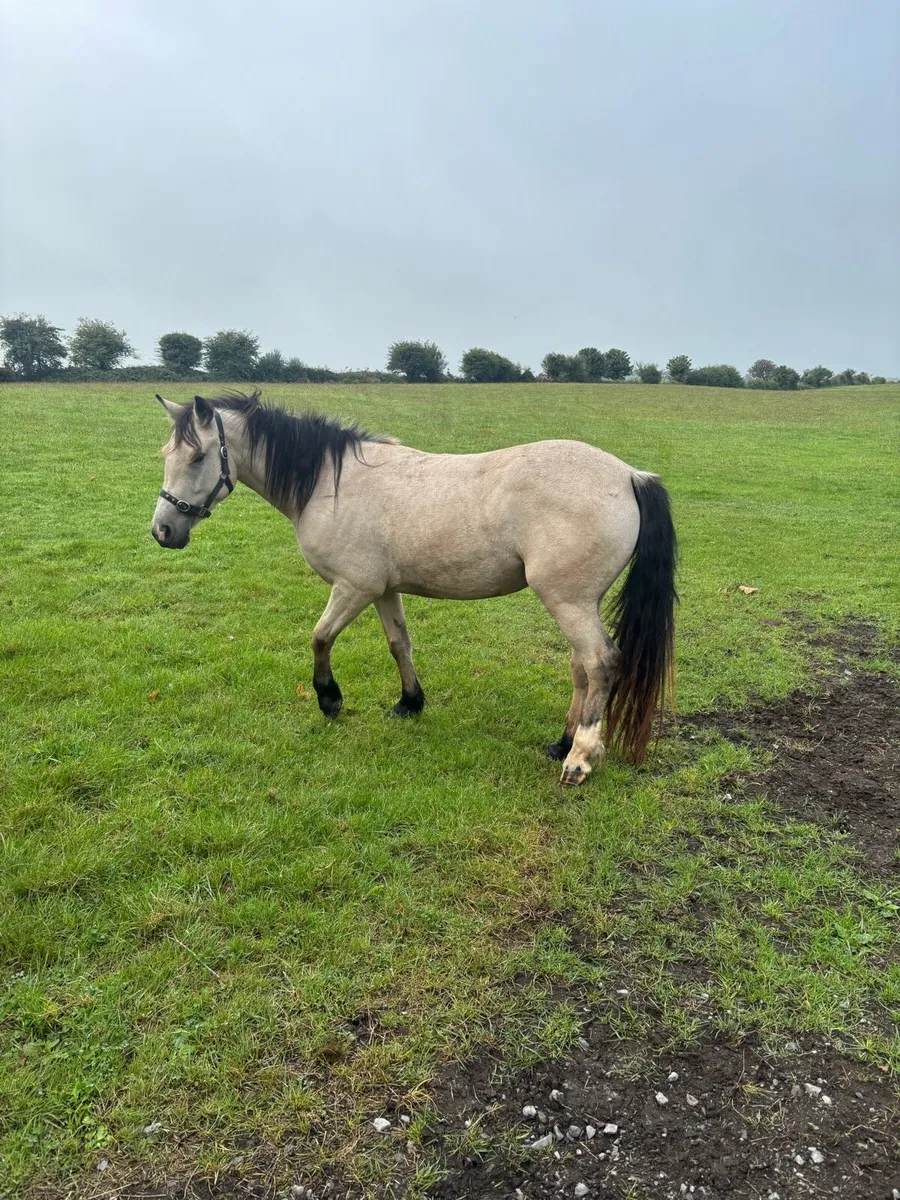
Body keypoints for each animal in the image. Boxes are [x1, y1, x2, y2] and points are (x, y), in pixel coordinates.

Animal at [151, 391, 677, 784]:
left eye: (198, 456)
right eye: (167, 455)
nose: (162, 531)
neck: (331, 483)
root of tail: (629, 475)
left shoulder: (354, 587)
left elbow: (320, 637)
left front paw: (329, 699)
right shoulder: (384, 589)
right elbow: (399, 643)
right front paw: (409, 702)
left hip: (568, 601)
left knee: (600, 662)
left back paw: (580, 758)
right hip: (580, 602)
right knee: (580, 667)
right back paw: (563, 742)